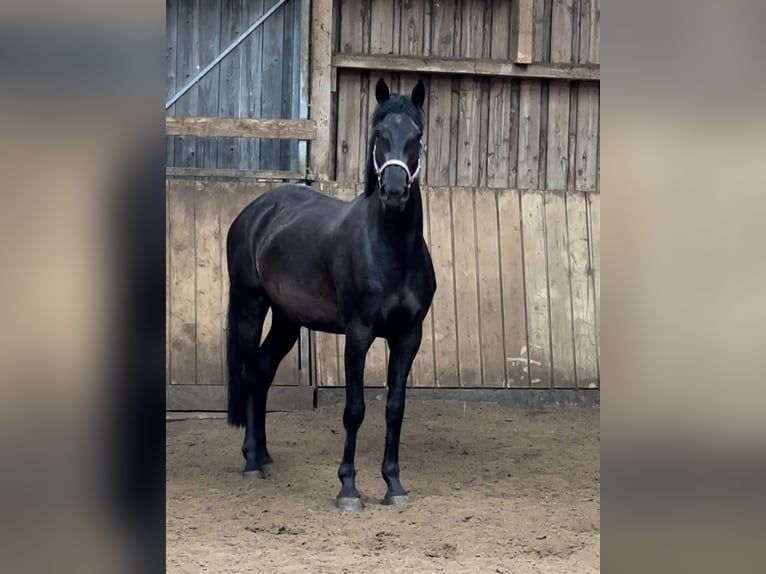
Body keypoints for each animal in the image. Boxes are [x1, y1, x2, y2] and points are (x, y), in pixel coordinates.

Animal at [225, 80, 436, 512]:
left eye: (417, 136)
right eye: (379, 135)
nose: (393, 193)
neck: (391, 252)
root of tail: (253, 212)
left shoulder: (408, 337)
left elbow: (395, 408)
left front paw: (394, 484)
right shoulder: (358, 335)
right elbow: (354, 409)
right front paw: (349, 488)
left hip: (287, 320)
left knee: (263, 371)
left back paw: (265, 457)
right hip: (251, 307)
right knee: (251, 371)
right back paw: (251, 460)